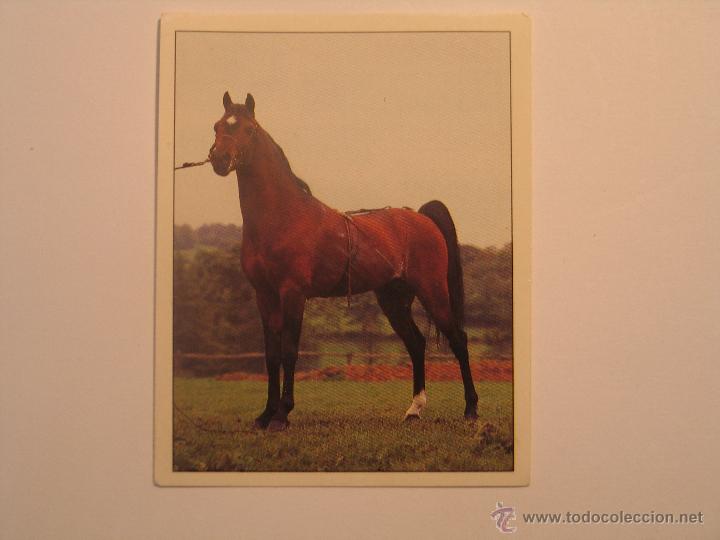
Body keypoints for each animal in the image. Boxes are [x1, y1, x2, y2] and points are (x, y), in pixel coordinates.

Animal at [207, 91, 479, 431]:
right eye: (217, 126)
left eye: (248, 129)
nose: (219, 159)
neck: (283, 216)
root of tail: (421, 217)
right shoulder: (264, 295)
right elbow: (271, 354)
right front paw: (265, 415)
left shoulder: (293, 293)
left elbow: (289, 350)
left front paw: (282, 415)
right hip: (394, 299)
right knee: (416, 343)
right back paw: (414, 410)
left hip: (433, 292)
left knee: (458, 339)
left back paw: (471, 409)